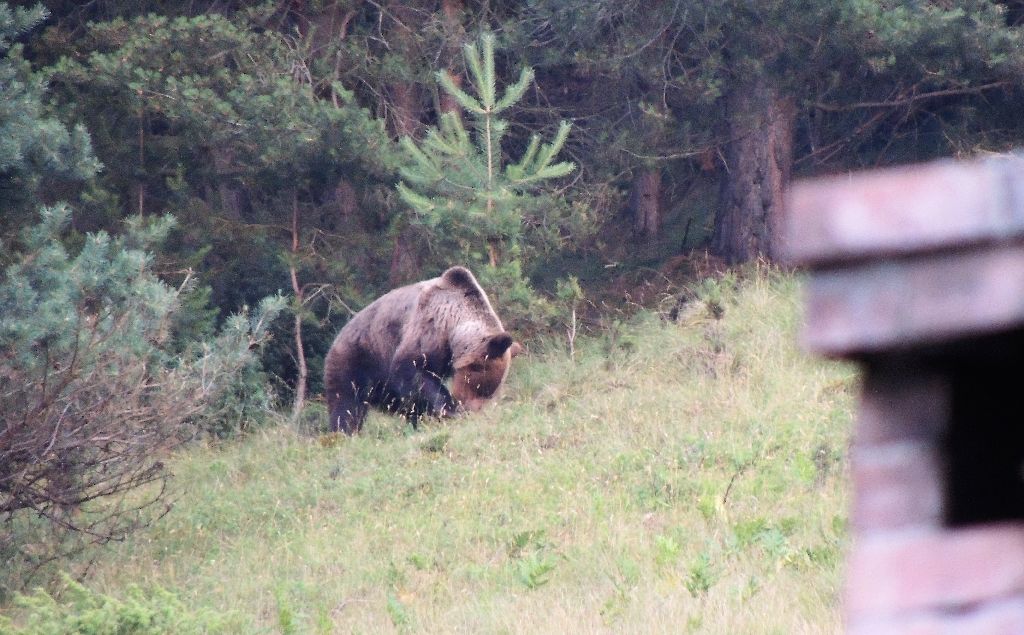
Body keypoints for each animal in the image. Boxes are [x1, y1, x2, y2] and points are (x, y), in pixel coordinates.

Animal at [323, 266, 520, 434]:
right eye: (479, 387)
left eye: (490, 394)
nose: (472, 411)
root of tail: (337, 336)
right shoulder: (428, 327)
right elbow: (413, 370)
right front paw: (448, 410)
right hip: (357, 359)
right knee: (347, 403)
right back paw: (343, 433)